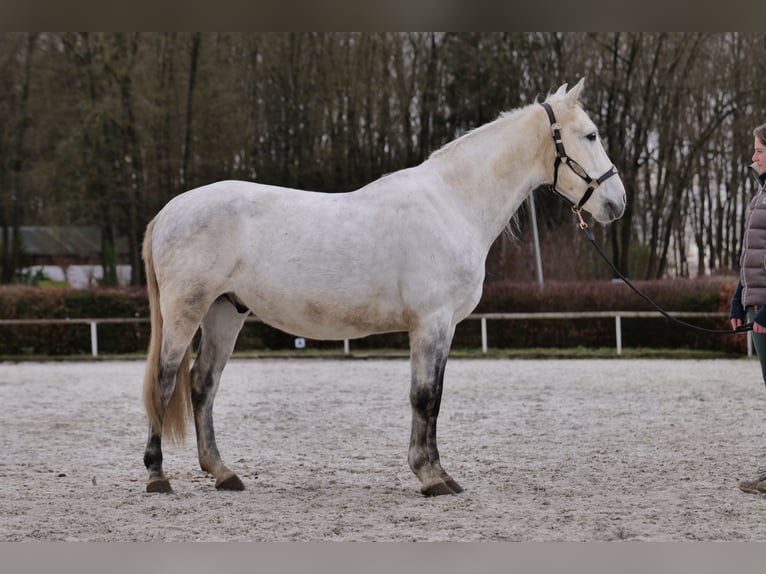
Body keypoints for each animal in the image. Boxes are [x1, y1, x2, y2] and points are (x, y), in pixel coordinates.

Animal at [141, 79, 628, 498]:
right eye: (590, 135)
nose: (617, 203)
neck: (453, 202)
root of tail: (167, 212)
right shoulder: (431, 321)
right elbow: (424, 397)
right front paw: (429, 476)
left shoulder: (444, 326)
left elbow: (433, 397)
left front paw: (441, 473)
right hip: (186, 311)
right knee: (165, 382)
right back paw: (157, 476)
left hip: (224, 313)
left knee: (202, 384)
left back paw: (223, 473)